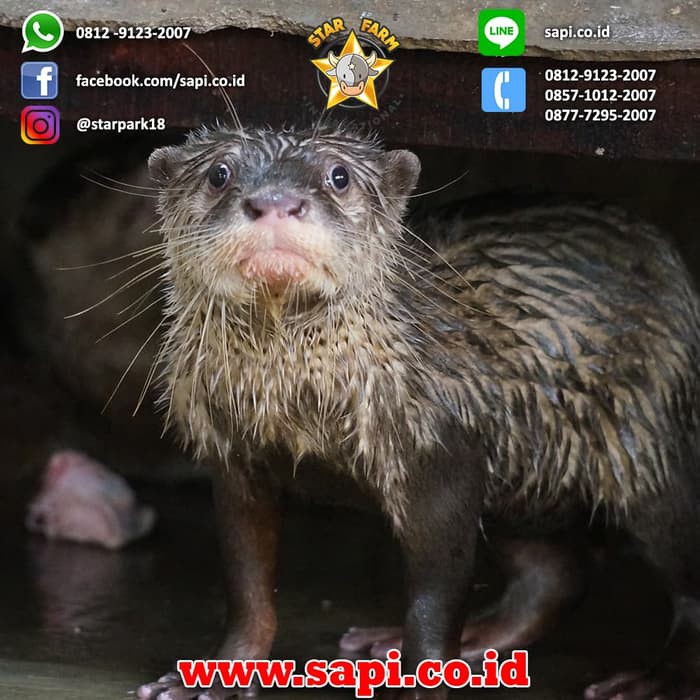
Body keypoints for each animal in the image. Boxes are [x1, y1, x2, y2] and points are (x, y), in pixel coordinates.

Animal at [137, 123, 700, 700]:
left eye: (338, 176)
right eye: (218, 173)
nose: (274, 202)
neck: (305, 403)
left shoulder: (440, 449)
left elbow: (433, 600)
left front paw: (426, 679)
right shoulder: (234, 453)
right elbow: (247, 584)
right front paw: (218, 676)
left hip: (648, 441)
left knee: (681, 568)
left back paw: (655, 679)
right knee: (554, 575)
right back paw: (473, 637)